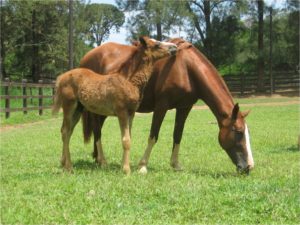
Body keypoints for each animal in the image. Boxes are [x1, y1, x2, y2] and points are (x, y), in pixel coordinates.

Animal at [79, 38, 253, 174]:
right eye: (238, 132)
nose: (249, 167)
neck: (186, 68)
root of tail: (85, 58)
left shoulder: (184, 107)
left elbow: (178, 135)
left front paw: (175, 164)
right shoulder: (161, 106)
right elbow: (153, 135)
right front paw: (143, 166)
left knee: (98, 130)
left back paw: (97, 158)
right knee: (97, 130)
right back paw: (102, 161)